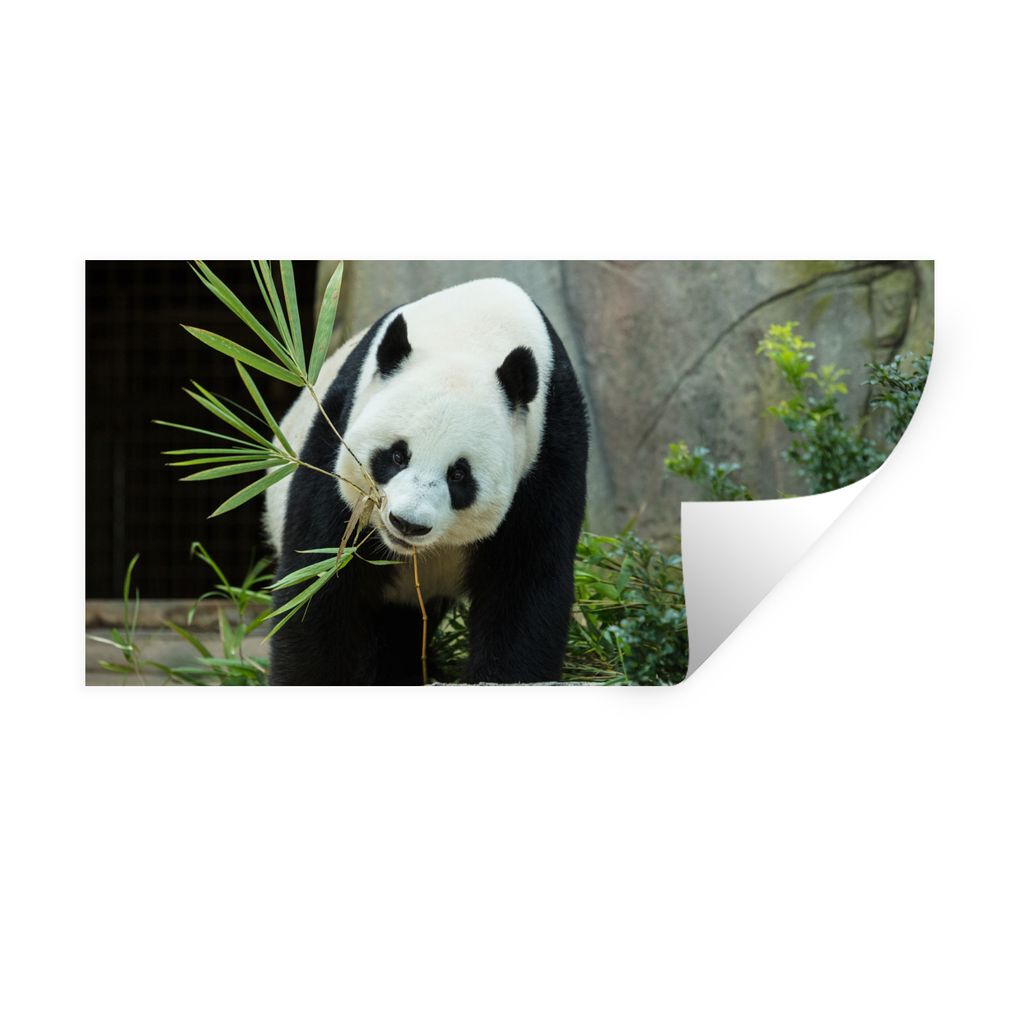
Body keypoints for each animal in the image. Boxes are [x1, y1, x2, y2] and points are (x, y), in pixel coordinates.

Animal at [263, 277, 589, 685]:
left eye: (459, 474)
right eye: (397, 455)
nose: (407, 524)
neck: (471, 333)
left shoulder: (548, 451)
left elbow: (524, 586)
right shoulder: (338, 433)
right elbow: (320, 583)